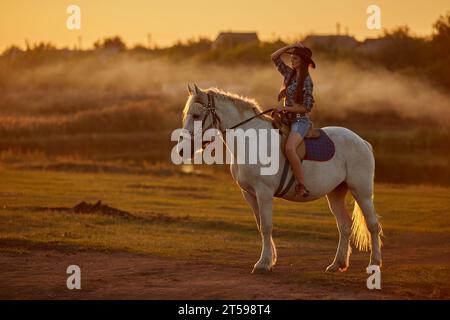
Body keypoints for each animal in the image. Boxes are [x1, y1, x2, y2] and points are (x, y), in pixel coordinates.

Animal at [181, 84, 382, 274]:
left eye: (197, 115)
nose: (182, 150)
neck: (251, 143)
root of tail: (362, 142)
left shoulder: (264, 192)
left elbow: (266, 226)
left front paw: (263, 263)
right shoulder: (249, 194)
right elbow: (260, 225)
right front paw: (270, 260)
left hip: (361, 191)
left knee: (373, 225)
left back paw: (374, 263)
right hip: (335, 193)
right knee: (345, 225)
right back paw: (337, 264)